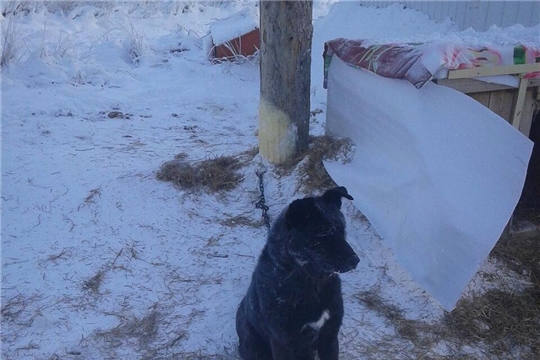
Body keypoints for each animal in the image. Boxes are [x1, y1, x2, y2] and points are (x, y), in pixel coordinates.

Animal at [236, 187, 358, 358]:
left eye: (342, 231)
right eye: (323, 235)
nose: (355, 260)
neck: (310, 283)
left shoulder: (329, 335)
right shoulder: (284, 343)